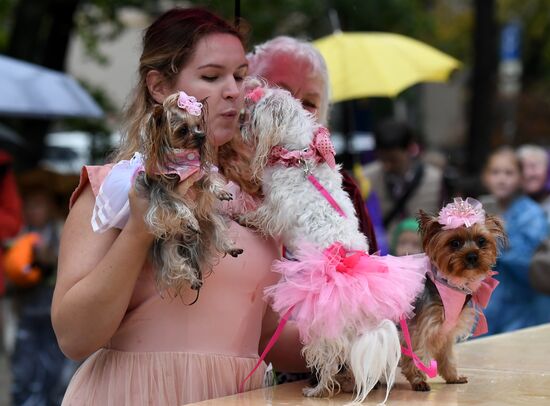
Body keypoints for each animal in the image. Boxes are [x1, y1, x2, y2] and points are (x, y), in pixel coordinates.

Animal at [404, 198, 506, 392]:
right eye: (454, 243)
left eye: (481, 241)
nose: (472, 256)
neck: (448, 284)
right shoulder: (421, 329)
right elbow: (419, 355)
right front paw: (419, 380)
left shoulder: (446, 331)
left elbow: (448, 356)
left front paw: (453, 377)